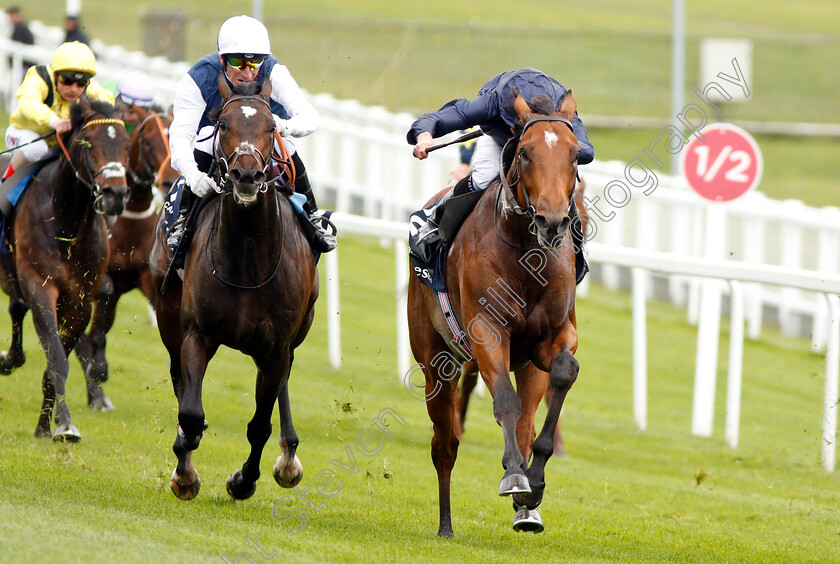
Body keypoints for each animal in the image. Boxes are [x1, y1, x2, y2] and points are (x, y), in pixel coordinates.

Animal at [0, 96, 130, 440]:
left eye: (126, 144)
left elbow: (58, 359)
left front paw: (47, 425)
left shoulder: (80, 299)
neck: (67, 222)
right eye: (89, 143)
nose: (115, 195)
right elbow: (57, 359)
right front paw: (65, 424)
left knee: (16, 309)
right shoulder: (40, 287)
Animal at [75, 103, 180, 408]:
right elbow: (104, 294)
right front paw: (98, 368)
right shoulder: (99, 276)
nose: (169, 181)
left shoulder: (146, 277)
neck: (129, 220)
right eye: (148, 141)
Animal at [148, 76, 318, 502]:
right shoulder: (197, 334)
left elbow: (260, 424)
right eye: (224, 125)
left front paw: (244, 480)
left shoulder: (276, 348)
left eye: (272, 127)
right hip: (168, 317)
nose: (246, 175)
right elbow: (191, 414)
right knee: (178, 379)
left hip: (294, 335)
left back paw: (288, 458)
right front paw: (185, 474)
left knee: (283, 384)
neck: (248, 260)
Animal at [408, 92, 584, 536]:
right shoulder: (486, 332)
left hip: (526, 366)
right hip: (435, 361)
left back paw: (527, 512)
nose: (552, 221)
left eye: (575, 154)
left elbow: (562, 373)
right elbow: (503, 400)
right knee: (445, 444)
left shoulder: (553, 337)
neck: (525, 255)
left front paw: (534, 485)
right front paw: (516, 477)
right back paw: (446, 524)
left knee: (524, 423)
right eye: (525, 152)